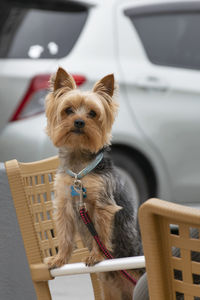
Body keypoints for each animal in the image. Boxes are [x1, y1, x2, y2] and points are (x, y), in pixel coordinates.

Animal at [44, 67, 143, 298]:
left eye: (92, 113)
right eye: (68, 110)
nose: (79, 122)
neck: (79, 169)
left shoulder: (102, 204)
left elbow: (101, 231)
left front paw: (96, 255)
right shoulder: (64, 205)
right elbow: (64, 236)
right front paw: (59, 259)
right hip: (112, 286)